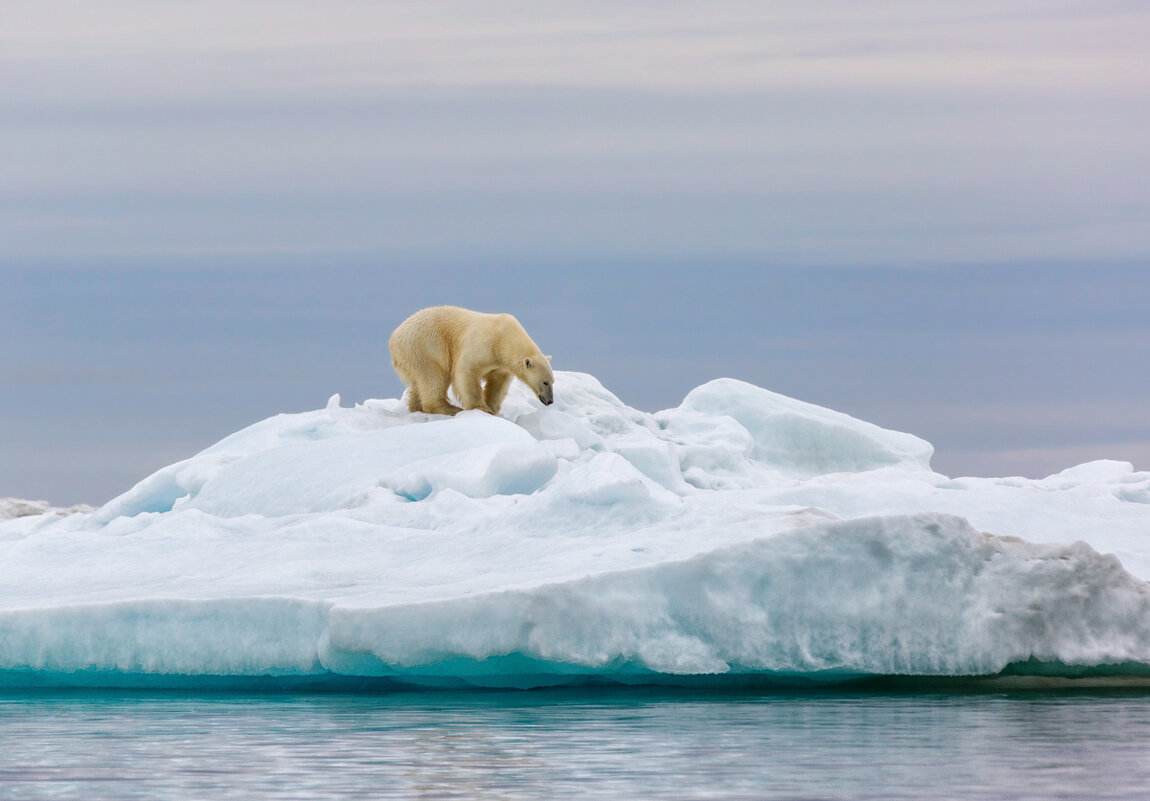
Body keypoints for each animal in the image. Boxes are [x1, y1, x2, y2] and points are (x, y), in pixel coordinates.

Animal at [388, 305, 554, 416]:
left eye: (552, 381)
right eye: (545, 382)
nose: (550, 401)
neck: (503, 337)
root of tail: (394, 338)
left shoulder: (500, 362)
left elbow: (498, 383)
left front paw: (492, 408)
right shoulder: (482, 343)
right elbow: (466, 371)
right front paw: (482, 409)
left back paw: (416, 408)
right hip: (425, 346)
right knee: (434, 376)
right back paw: (451, 408)